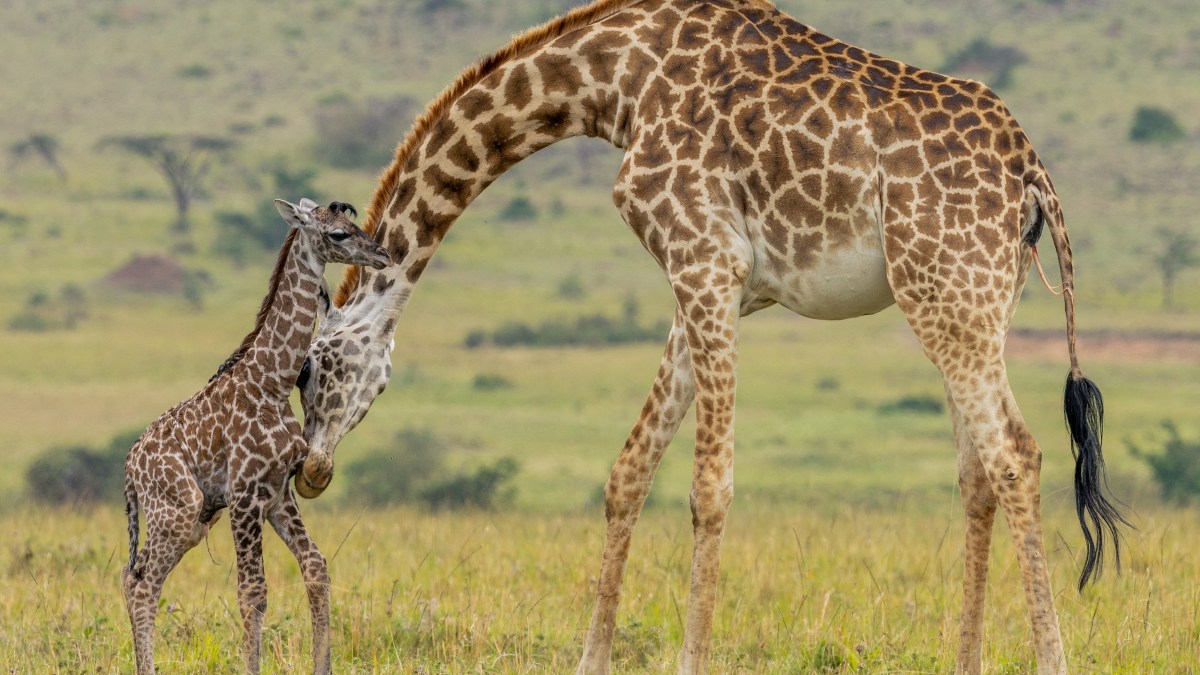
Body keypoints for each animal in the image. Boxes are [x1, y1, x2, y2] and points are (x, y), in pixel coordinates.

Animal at [120, 199, 391, 675]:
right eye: (338, 234)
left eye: (352, 222)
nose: (382, 255)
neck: (272, 381)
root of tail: (130, 471)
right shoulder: (245, 493)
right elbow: (252, 593)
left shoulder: (278, 492)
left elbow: (316, 567)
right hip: (177, 509)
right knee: (142, 584)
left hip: (191, 521)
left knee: (133, 578)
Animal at [294, 1, 1128, 672]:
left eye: (315, 364)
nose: (309, 469)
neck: (613, 81)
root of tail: (1031, 174)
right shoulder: (722, 282)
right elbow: (629, 470)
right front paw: (591, 659)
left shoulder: (702, 257)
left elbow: (707, 485)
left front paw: (689, 658)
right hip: (972, 302)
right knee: (976, 470)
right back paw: (967, 660)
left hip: (948, 294)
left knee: (1015, 454)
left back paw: (1052, 658)